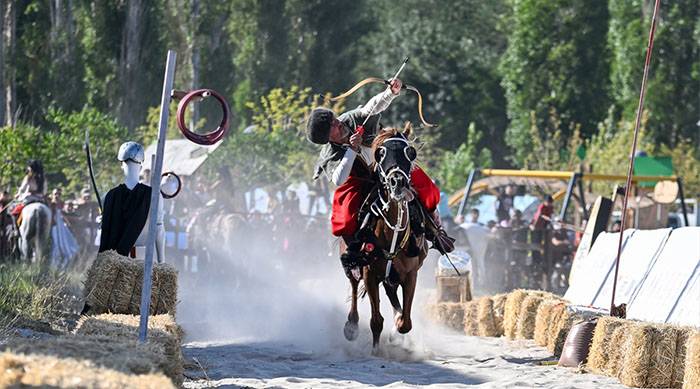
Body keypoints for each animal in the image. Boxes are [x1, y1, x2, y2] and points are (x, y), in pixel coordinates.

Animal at [340, 125, 426, 348]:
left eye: (410, 152)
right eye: (381, 153)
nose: (397, 182)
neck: (391, 234)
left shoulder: (411, 274)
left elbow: (405, 323)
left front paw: (397, 327)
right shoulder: (370, 273)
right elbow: (376, 320)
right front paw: (375, 349)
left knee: (391, 293)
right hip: (353, 260)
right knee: (353, 284)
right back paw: (351, 325)